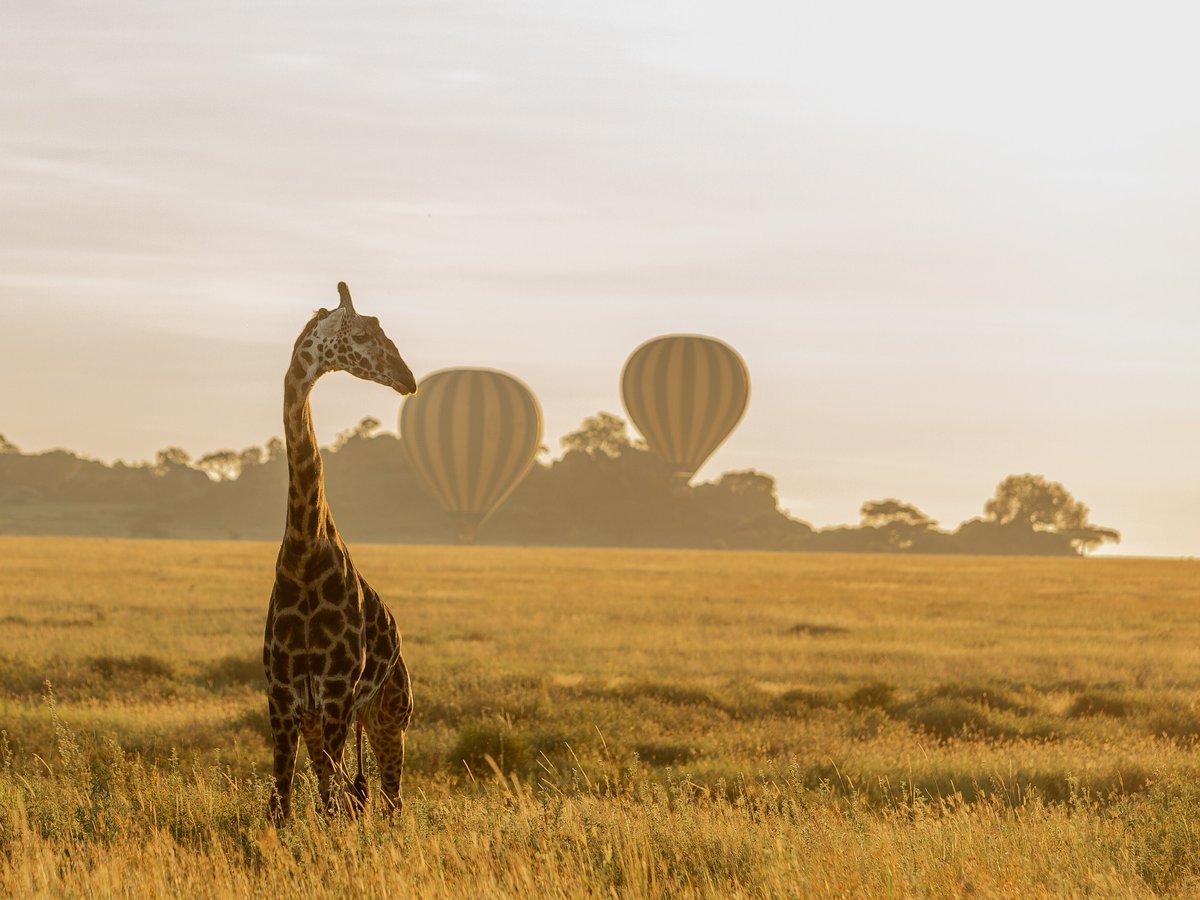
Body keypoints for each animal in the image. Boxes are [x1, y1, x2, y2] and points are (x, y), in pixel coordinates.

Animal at [262, 282, 417, 825]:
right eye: (366, 335)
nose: (408, 379)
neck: (305, 552)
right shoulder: (284, 697)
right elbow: (282, 803)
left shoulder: (336, 692)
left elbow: (333, 806)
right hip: (330, 717)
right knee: (350, 791)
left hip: (390, 715)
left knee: (389, 800)